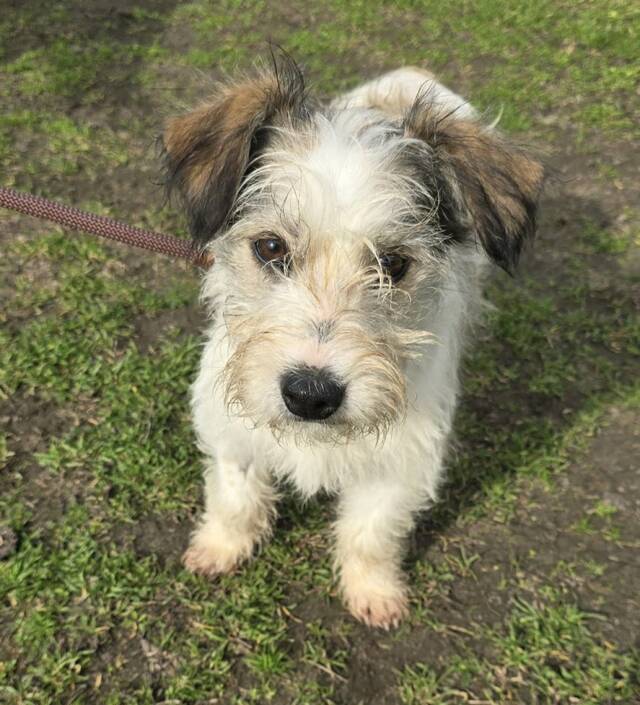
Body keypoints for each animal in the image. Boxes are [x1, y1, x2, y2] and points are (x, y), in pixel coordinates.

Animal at [161, 57, 543, 628]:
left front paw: (374, 592)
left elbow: (372, 533)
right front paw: (221, 548)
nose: (309, 395)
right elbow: (235, 497)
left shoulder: (402, 462)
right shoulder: (231, 429)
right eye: (270, 247)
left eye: (394, 264)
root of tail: (413, 72)